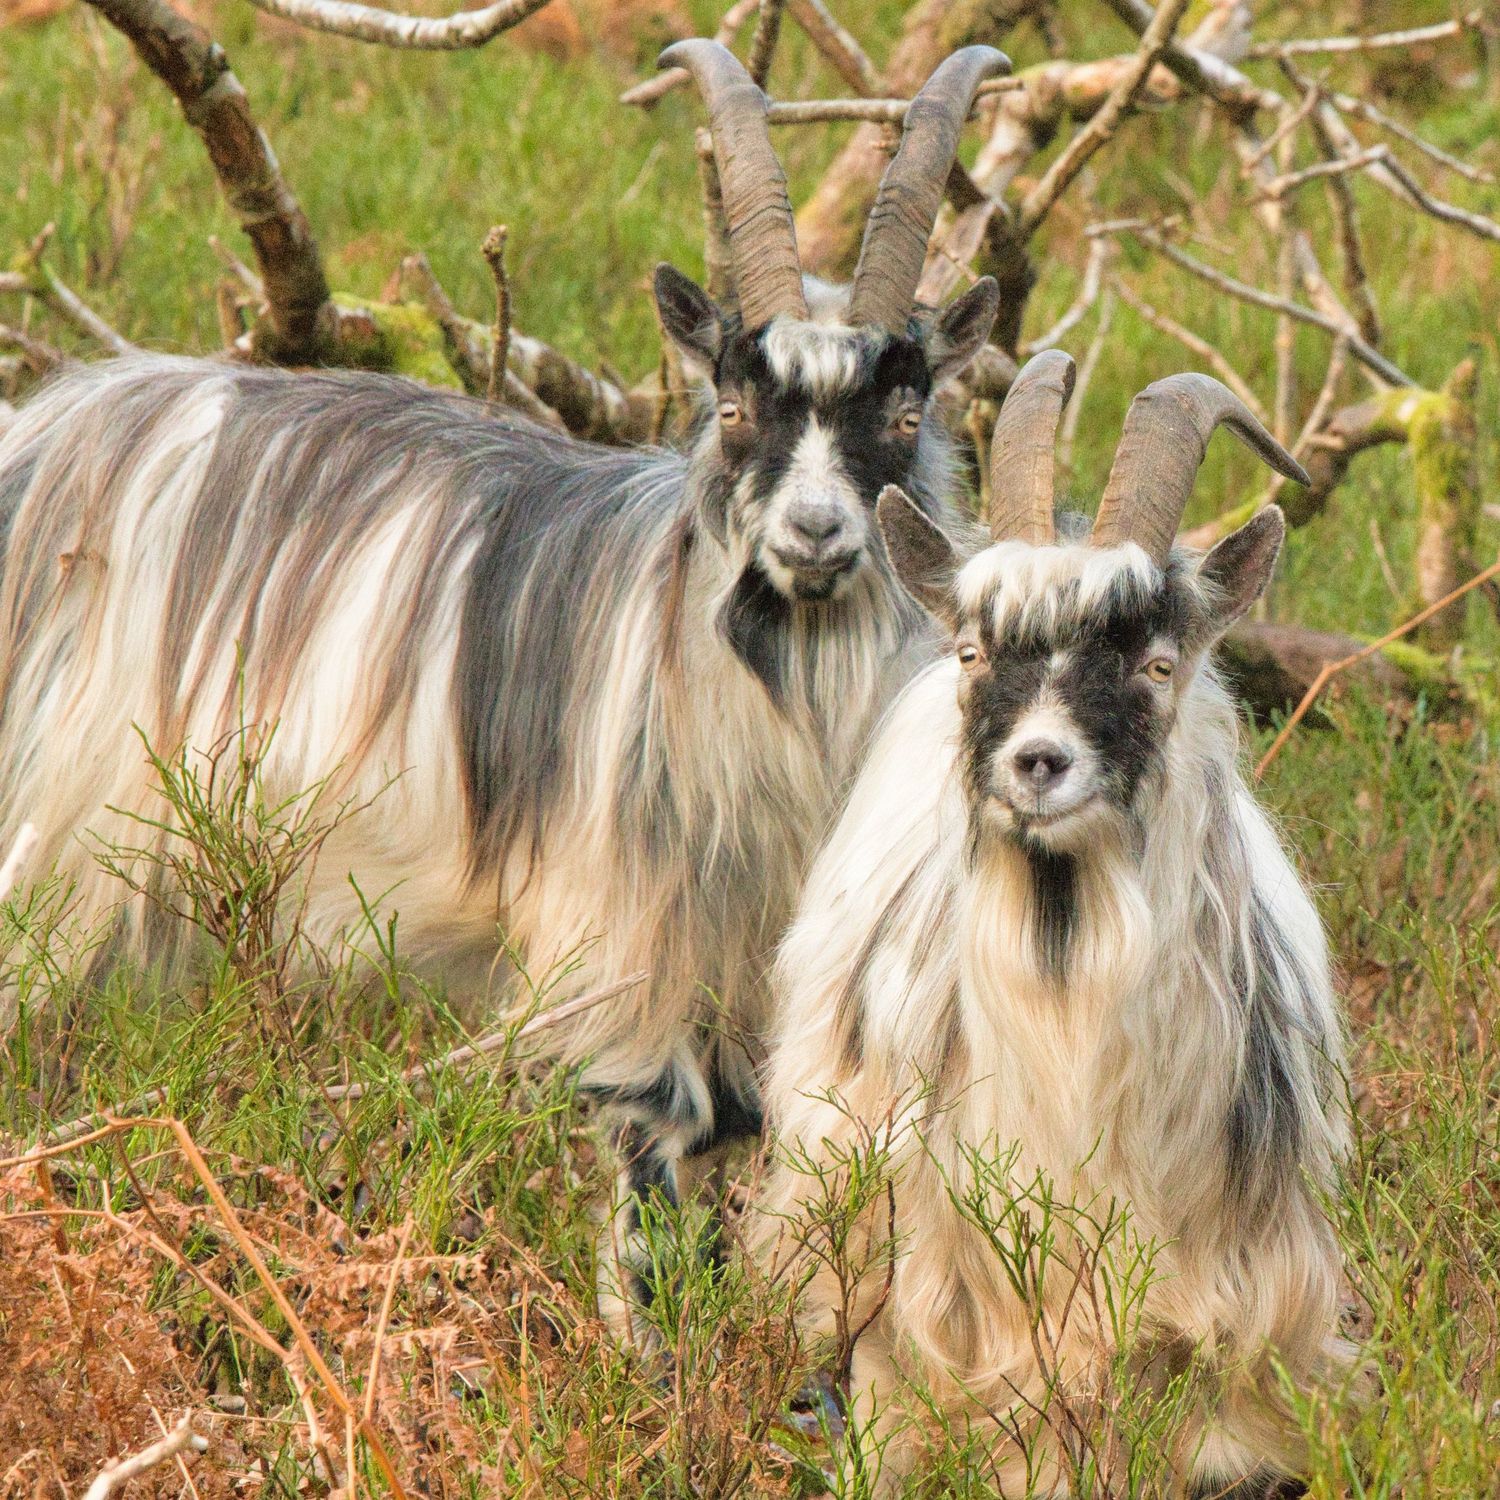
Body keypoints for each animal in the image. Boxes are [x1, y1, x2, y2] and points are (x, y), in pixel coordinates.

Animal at [0, 41, 1009, 1323]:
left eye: (908, 408)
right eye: (732, 409)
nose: (818, 533)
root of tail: (43, 436)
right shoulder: (619, 964)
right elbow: (646, 1191)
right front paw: (640, 1372)